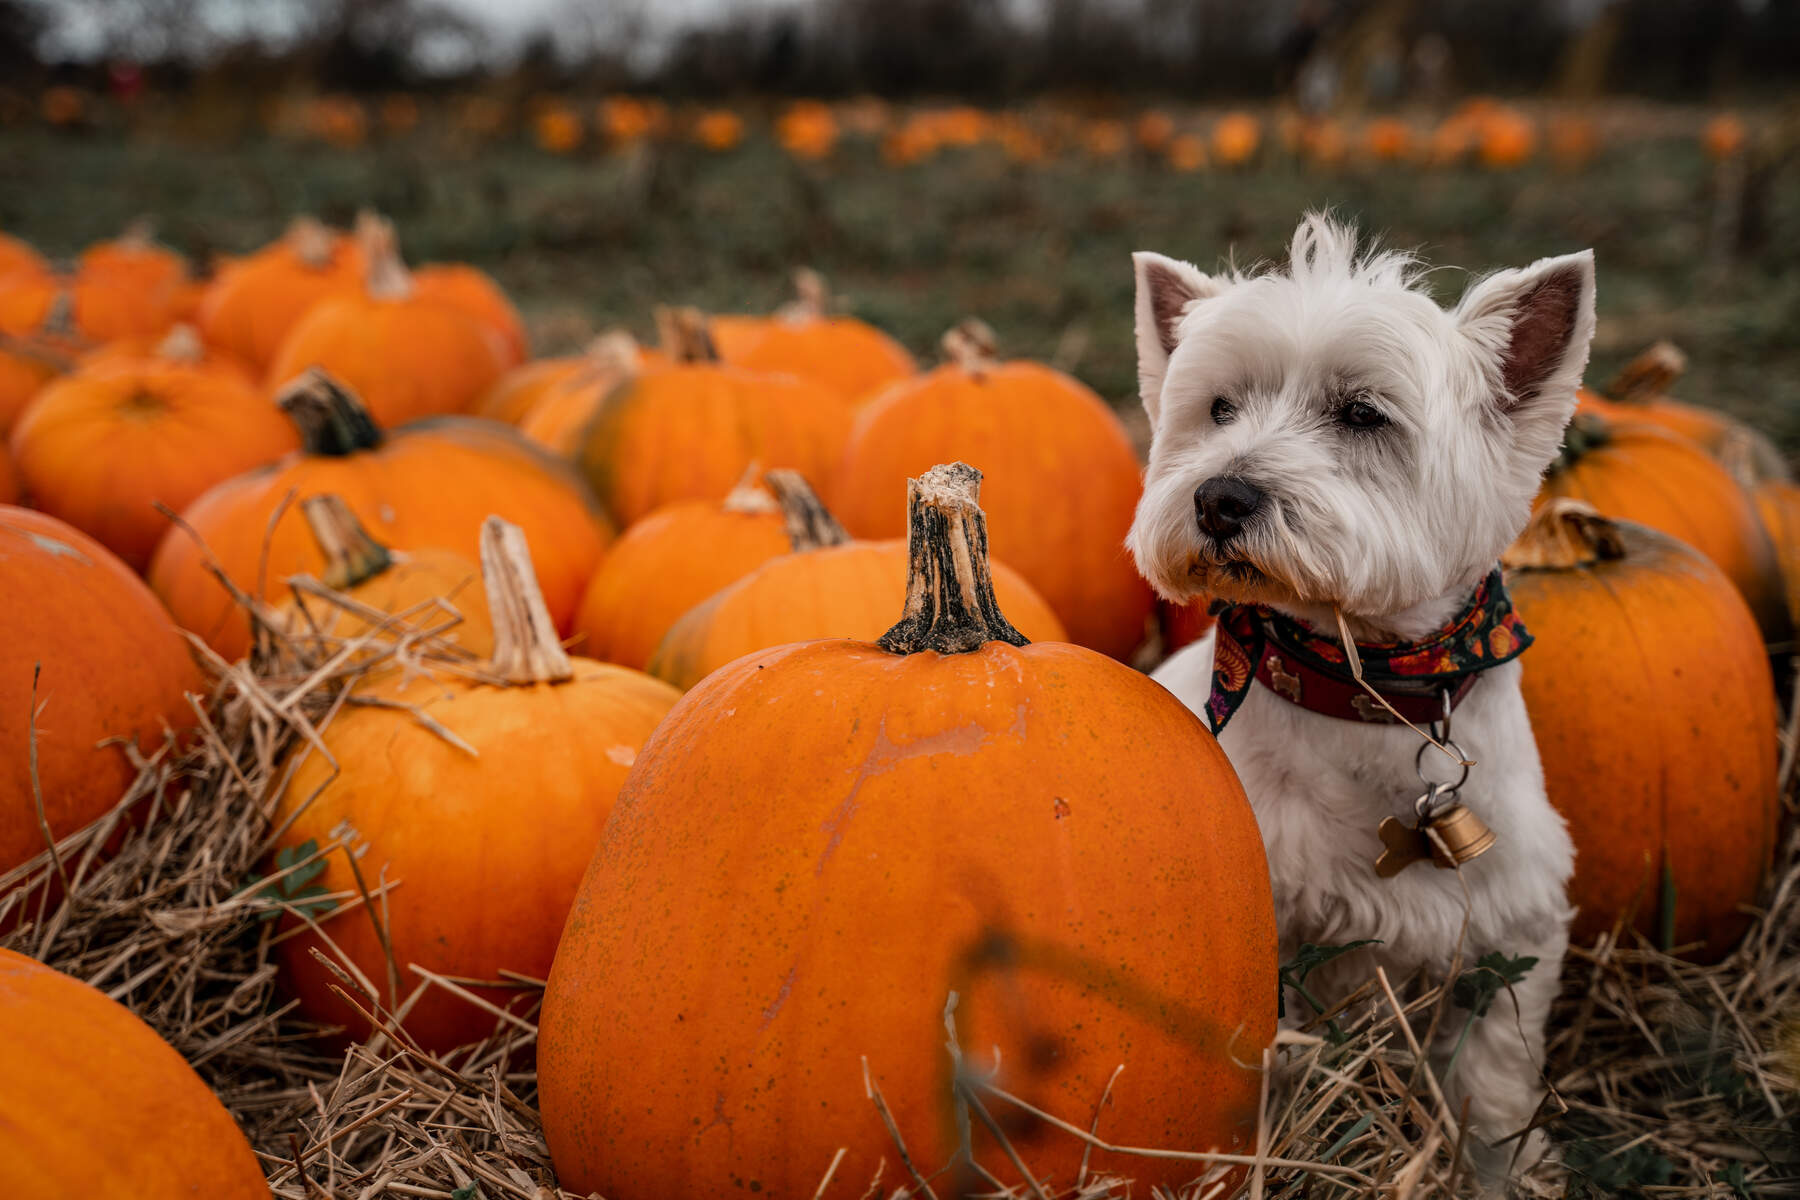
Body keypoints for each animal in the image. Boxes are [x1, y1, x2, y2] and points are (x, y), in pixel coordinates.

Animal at [1130, 215, 1598, 1180]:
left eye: (1360, 414)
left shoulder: (1512, 928)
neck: (1358, 689)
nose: (1219, 497)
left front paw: (1501, 1171)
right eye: (1220, 408)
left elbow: (1495, 1079)